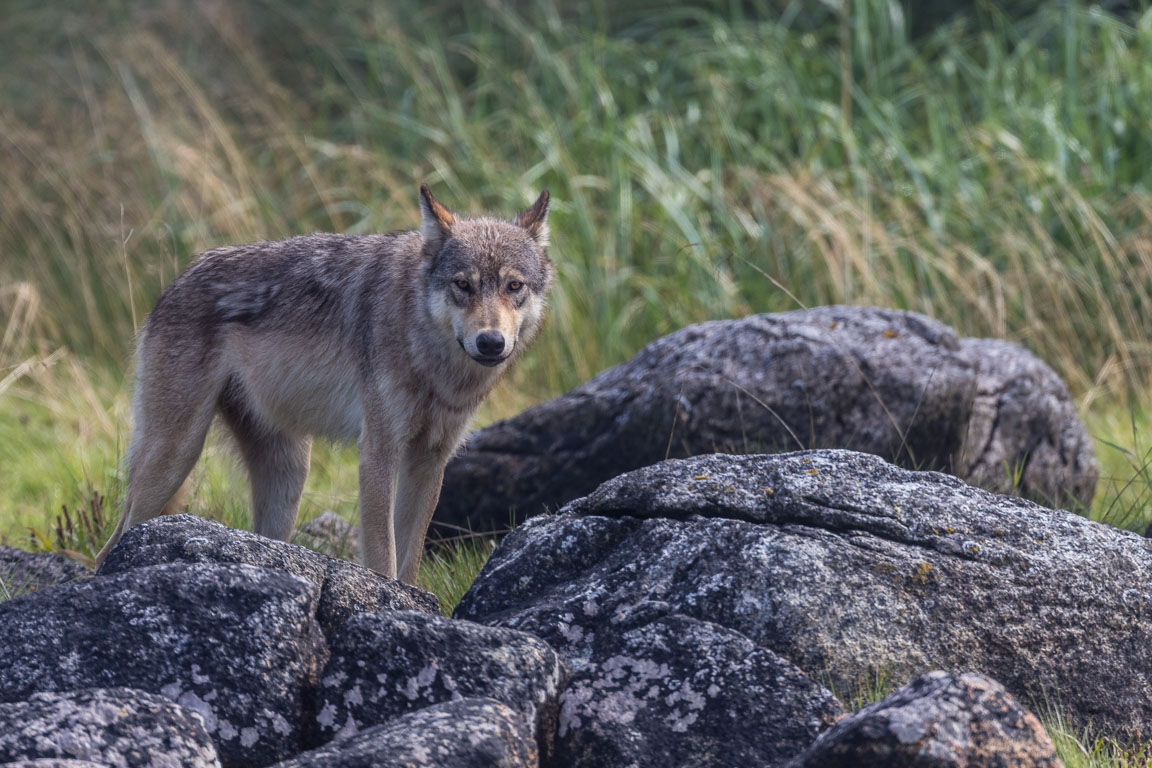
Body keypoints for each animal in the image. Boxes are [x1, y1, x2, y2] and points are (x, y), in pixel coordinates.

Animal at [94, 184, 552, 582]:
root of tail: (175, 283)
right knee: (110, 546)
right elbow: (383, 556)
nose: (490, 342)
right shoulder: (378, 452)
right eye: (463, 285)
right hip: (177, 456)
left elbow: (410, 560)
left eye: (514, 286)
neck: (429, 358)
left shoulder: (430, 459)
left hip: (288, 481)